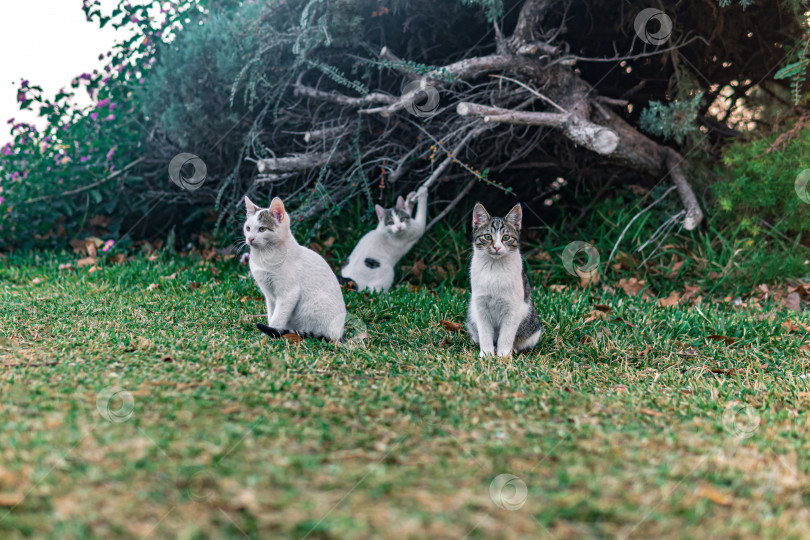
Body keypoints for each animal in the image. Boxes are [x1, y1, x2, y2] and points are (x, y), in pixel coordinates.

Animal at [246, 196, 348, 342]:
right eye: (248, 228)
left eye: (262, 229)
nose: (250, 238)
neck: (265, 256)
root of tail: (339, 334)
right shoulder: (269, 295)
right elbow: (271, 313)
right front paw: (267, 333)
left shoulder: (289, 294)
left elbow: (277, 318)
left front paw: (271, 335)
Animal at [464, 202, 540, 358]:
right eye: (487, 236)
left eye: (506, 237)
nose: (497, 247)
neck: (495, 268)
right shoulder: (480, 305)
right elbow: (485, 332)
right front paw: (486, 353)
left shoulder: (512, 307)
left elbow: (506, 335)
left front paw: (503, 356)